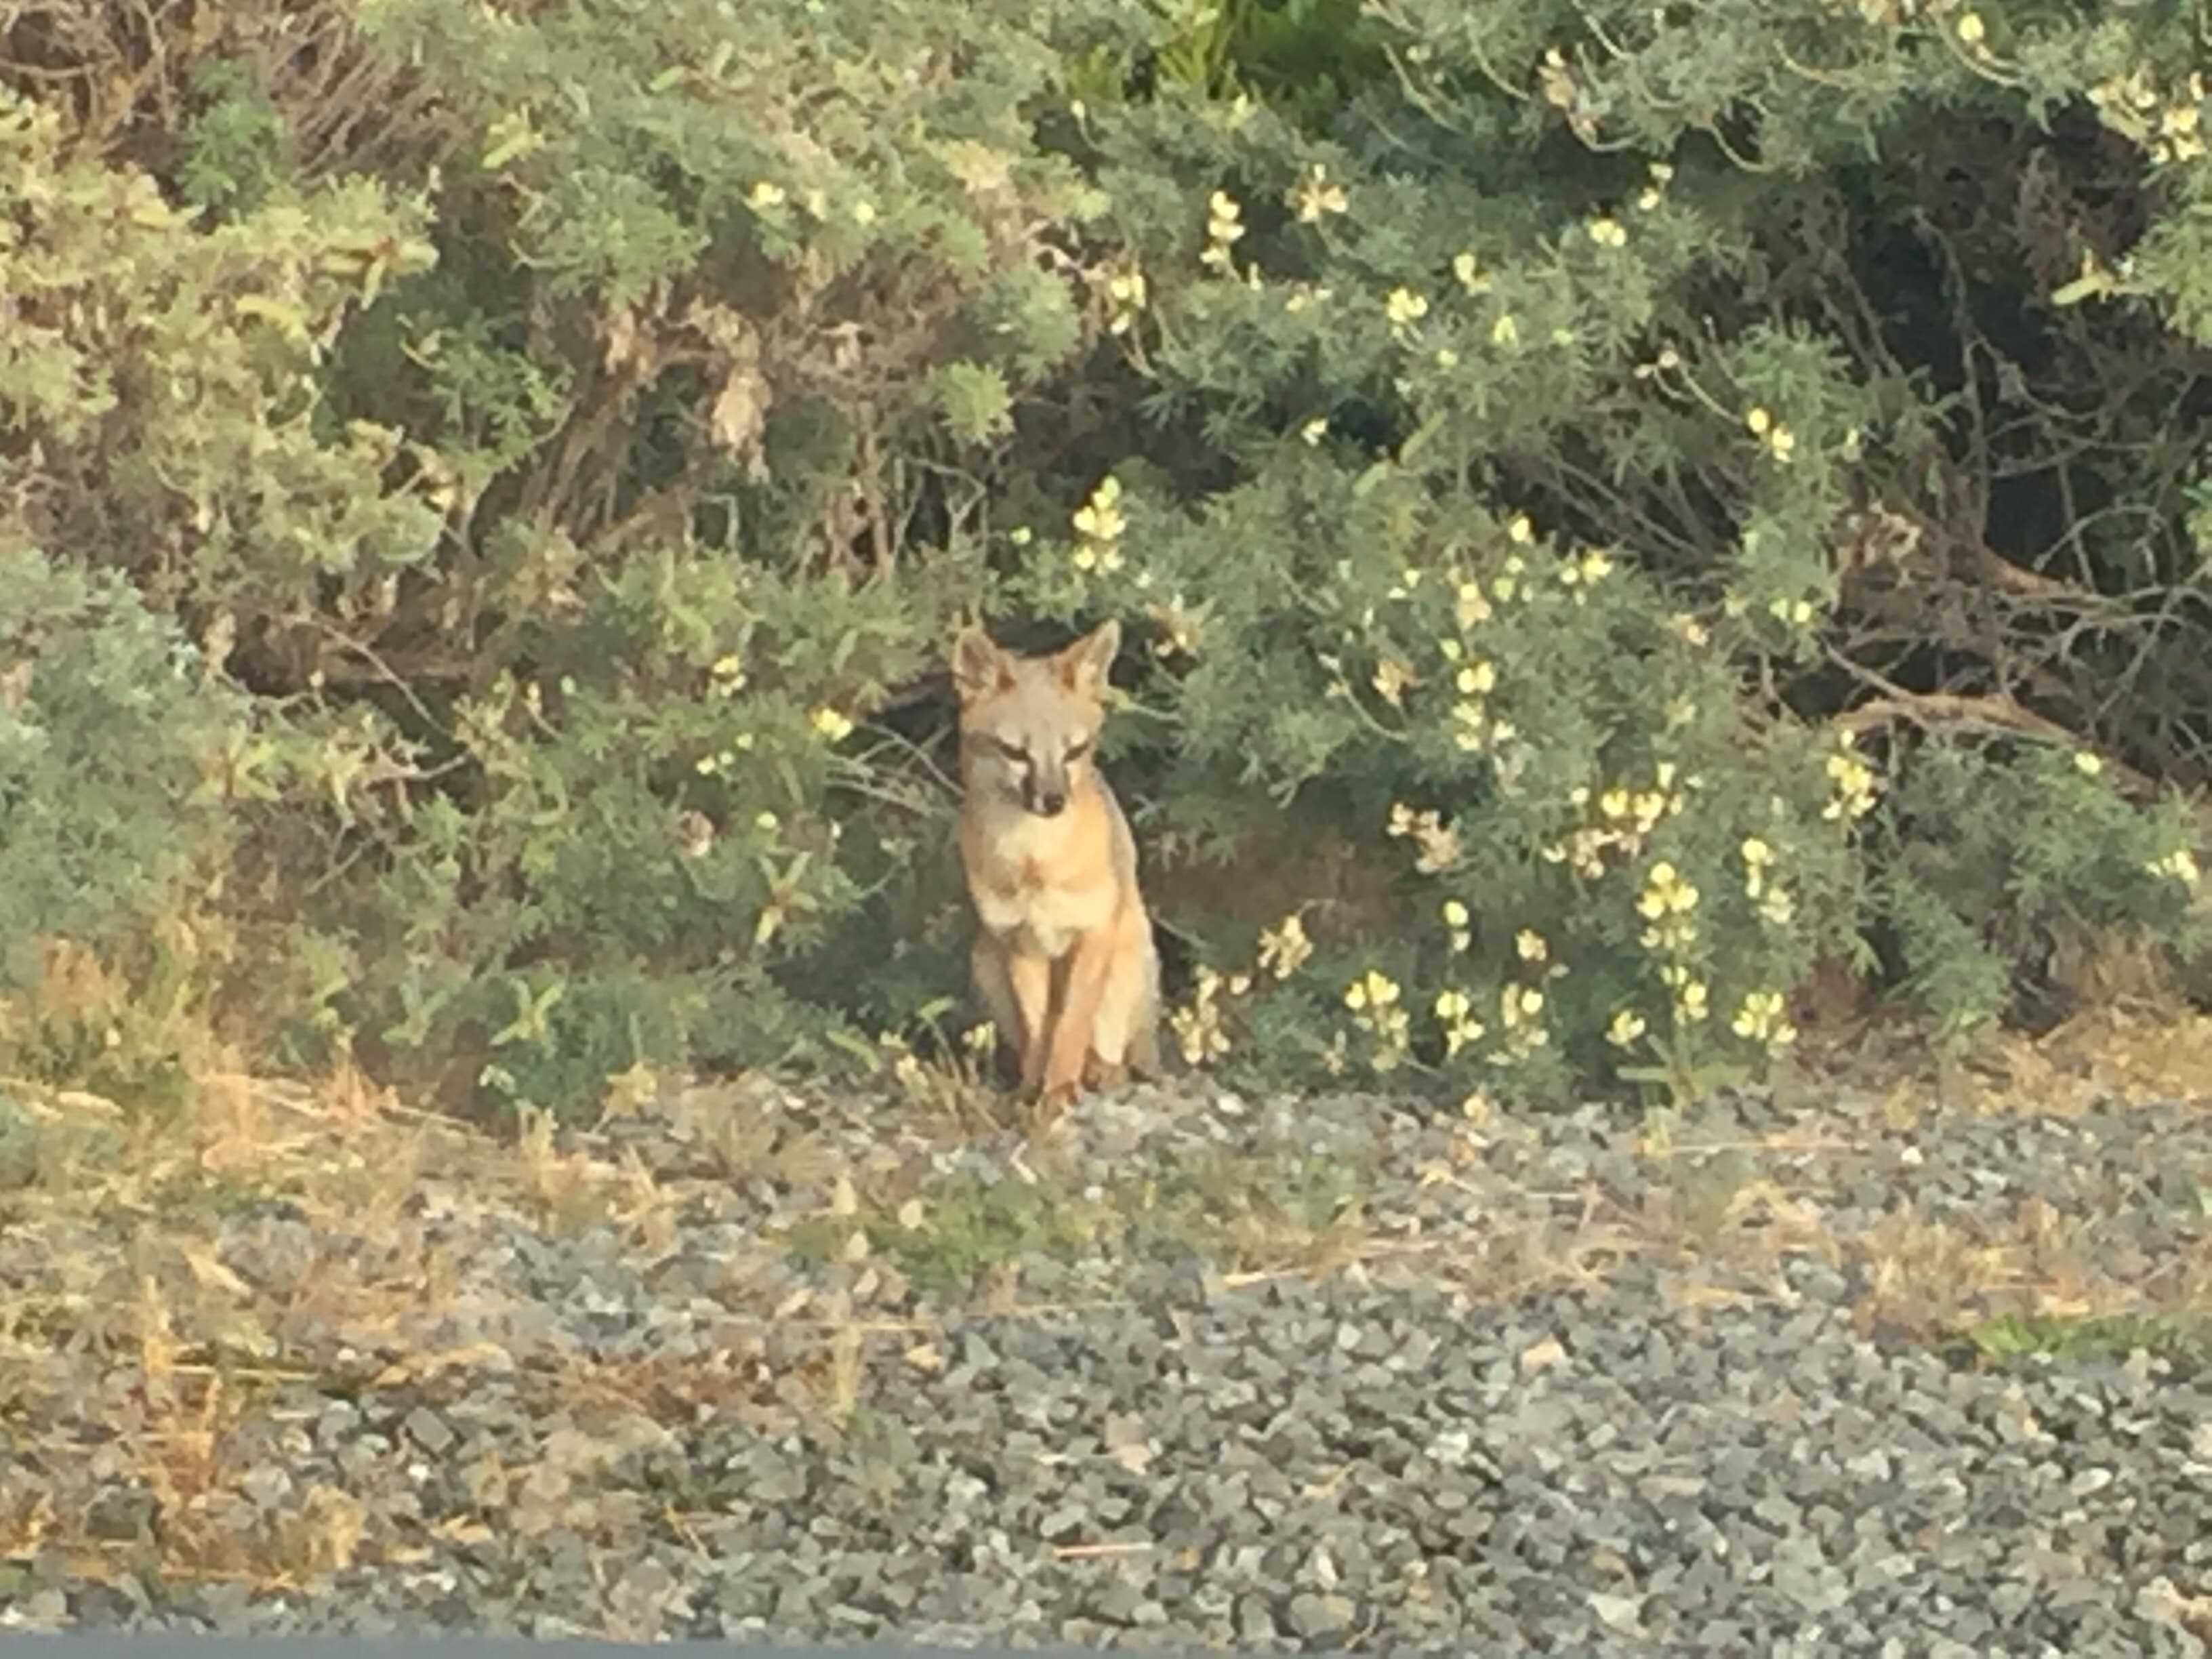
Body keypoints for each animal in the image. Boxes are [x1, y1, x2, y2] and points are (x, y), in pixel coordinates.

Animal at [950, 618, 1162, 1111]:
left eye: (1074, 751)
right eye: (1014, 752)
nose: (1053, 801)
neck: (1034, 862)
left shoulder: (1093, 933)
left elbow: (1070, 1026)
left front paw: (1060, 1089)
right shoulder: (1020, 942)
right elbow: (1039, 1029)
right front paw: (1034, 1088)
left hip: (1124, 965)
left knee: (1111, 1049)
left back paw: (1102, 1072)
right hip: (985, 960)